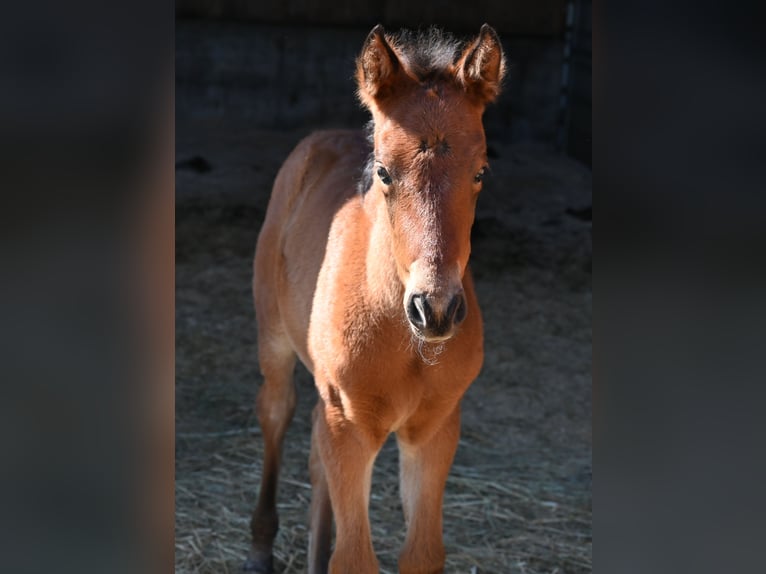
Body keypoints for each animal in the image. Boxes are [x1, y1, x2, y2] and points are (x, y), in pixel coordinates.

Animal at [246, 24, 506, 574]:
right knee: (276, 410)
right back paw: (259, 548)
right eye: (384, 172)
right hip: (273, 335)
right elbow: (354, 559)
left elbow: (422, 553)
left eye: (480, 172)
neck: (409, 344)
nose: (435, 309)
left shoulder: (435, 430)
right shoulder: (349, 424)